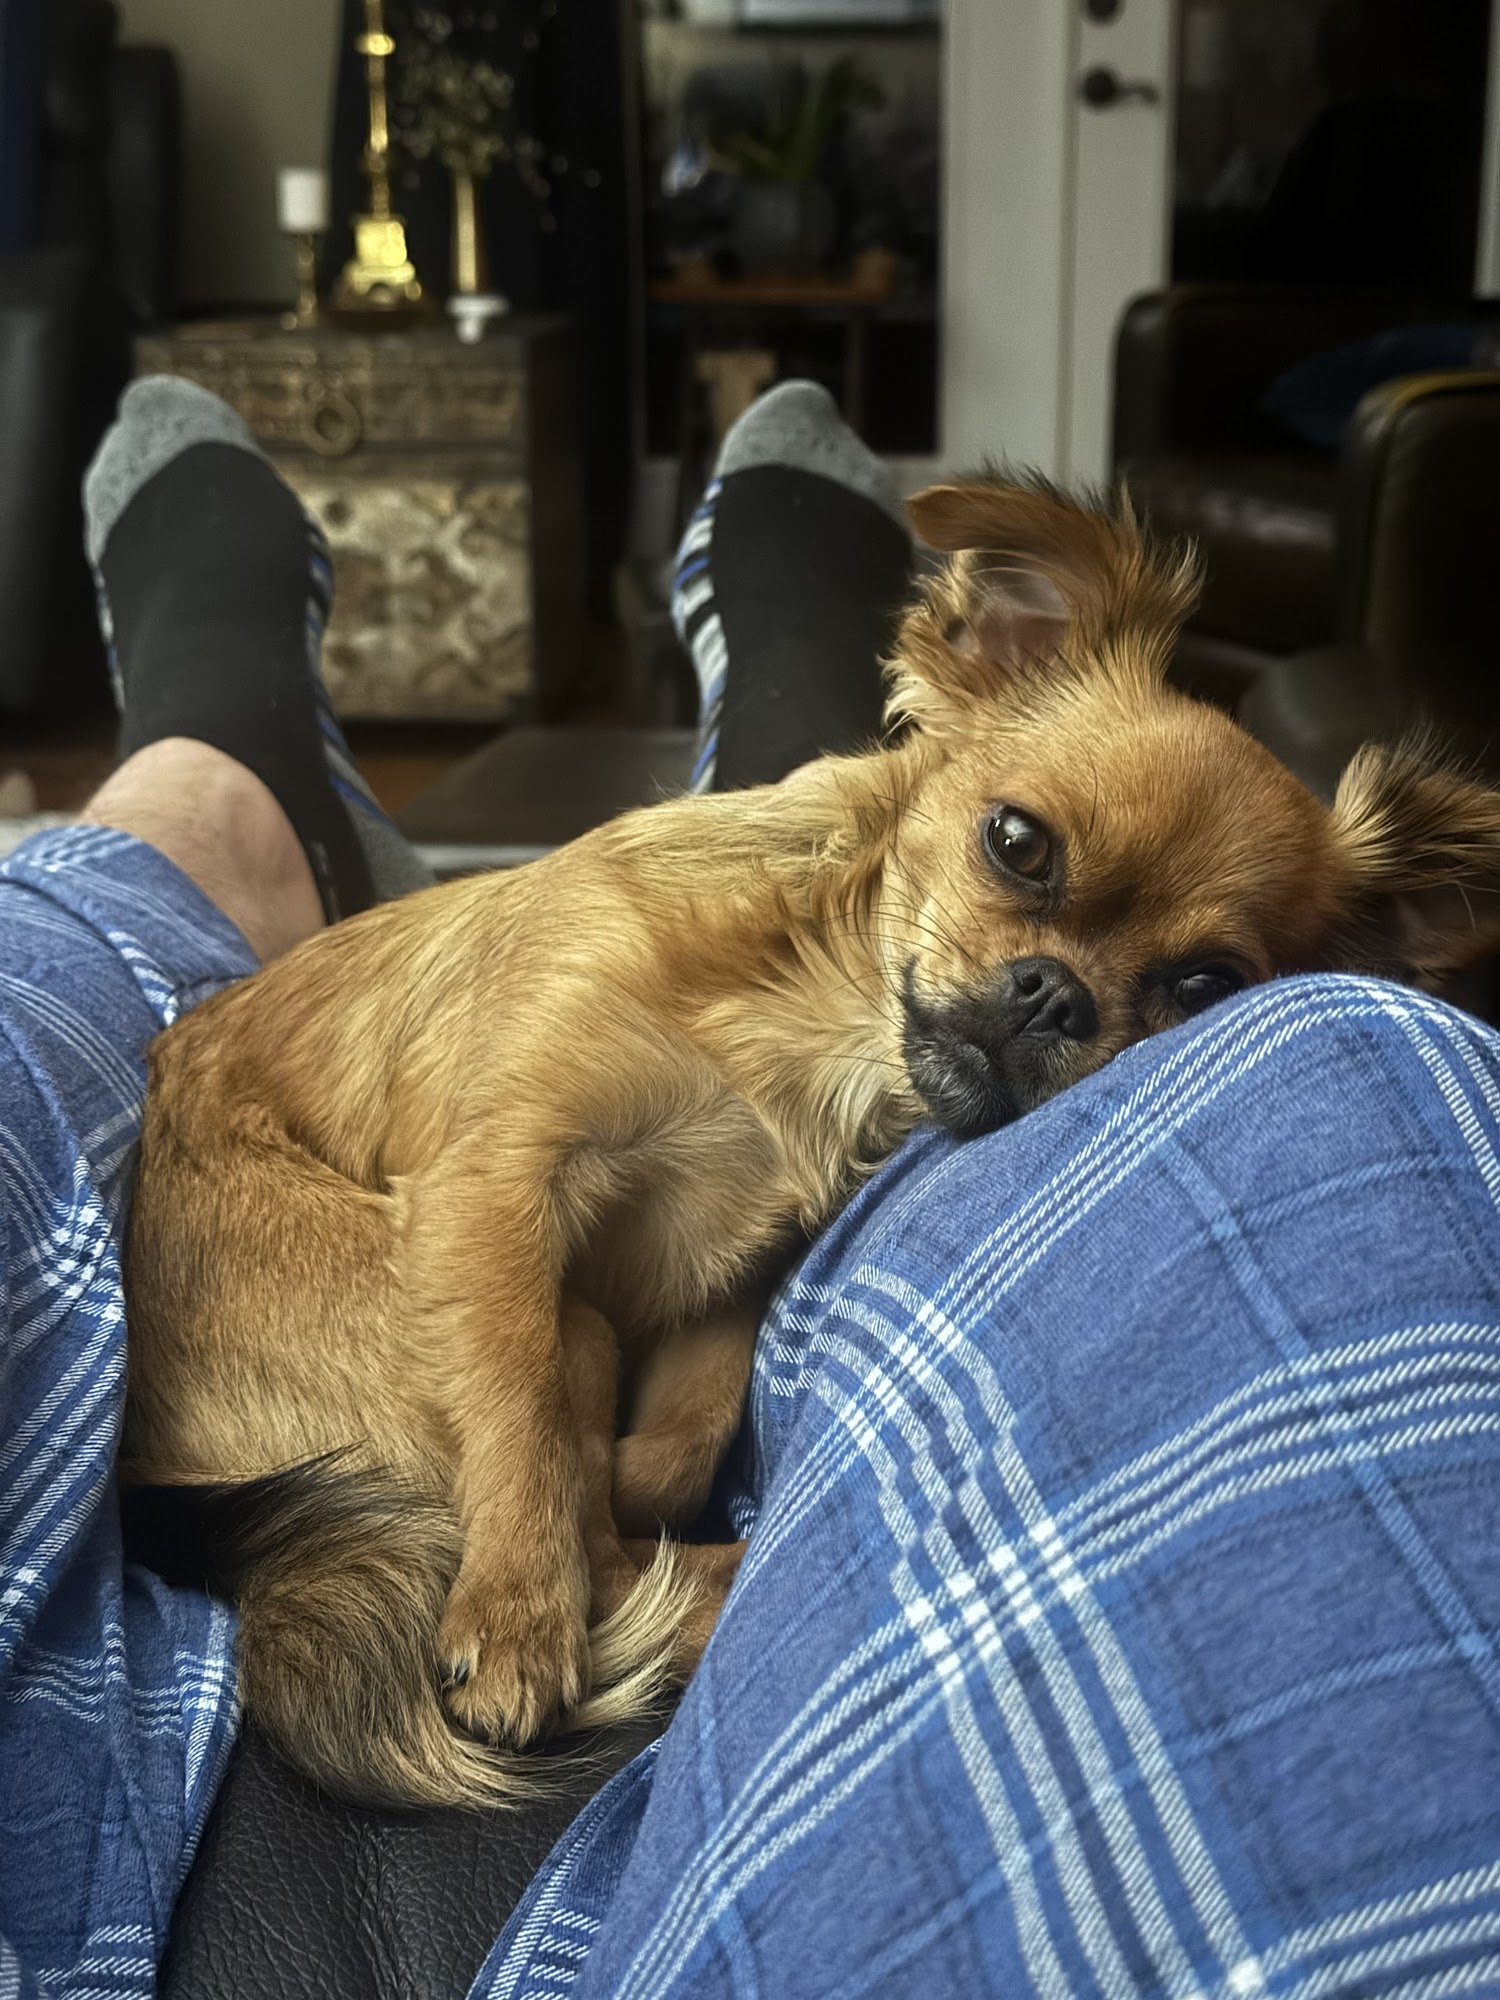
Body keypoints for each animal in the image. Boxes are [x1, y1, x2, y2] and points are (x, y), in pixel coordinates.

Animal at [121, 475, 1500, 1808]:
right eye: (1018, 842)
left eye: (1206, 986)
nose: (1058, 996)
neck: (815, 1020)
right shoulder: (492, 1184)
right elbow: (519, 1404)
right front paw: (517, 1607)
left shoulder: (736, 1269)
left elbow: (685, 1431)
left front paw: (625, 1470)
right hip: (499, 1305)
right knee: (593, 1523)